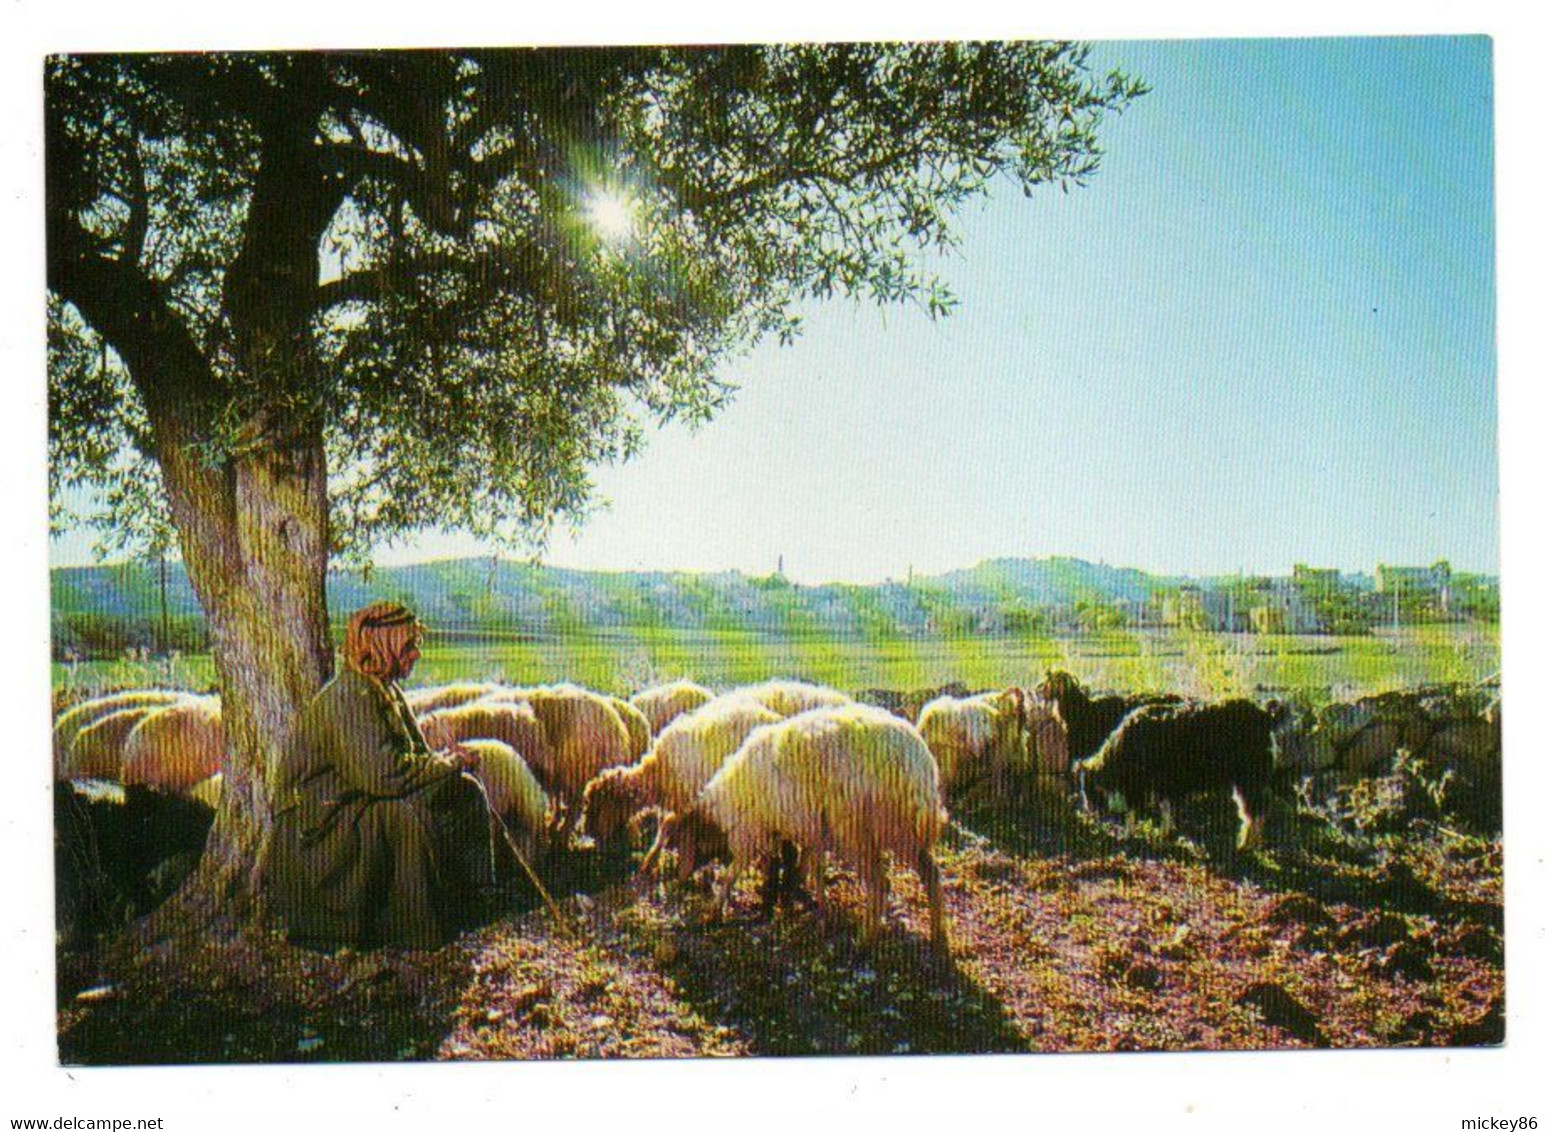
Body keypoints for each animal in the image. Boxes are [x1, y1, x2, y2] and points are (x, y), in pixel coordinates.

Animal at [671, 709, 947, 953]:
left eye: (682, 841)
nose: (679, 880)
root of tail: (919, 763)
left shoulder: (752, 831)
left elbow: (735, 871)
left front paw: (714, 912)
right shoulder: (808, 831)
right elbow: (807, 867)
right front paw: (805, 903)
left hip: (863, 830)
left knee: (881, 884)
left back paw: (865, 941)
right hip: (902, 832)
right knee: (931, 874)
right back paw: (938, 938)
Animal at [1071, 699, 1275, 848]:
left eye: (1084, 785)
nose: (1088, 810)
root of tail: (1264, 716)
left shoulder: (1140, 784)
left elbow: (1134, 810)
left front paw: (1128, 835)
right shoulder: (1164, 784)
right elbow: (1166, 807)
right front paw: (1165, 833)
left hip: (1248, 777)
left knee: (1254, 811)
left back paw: (1245, 845)